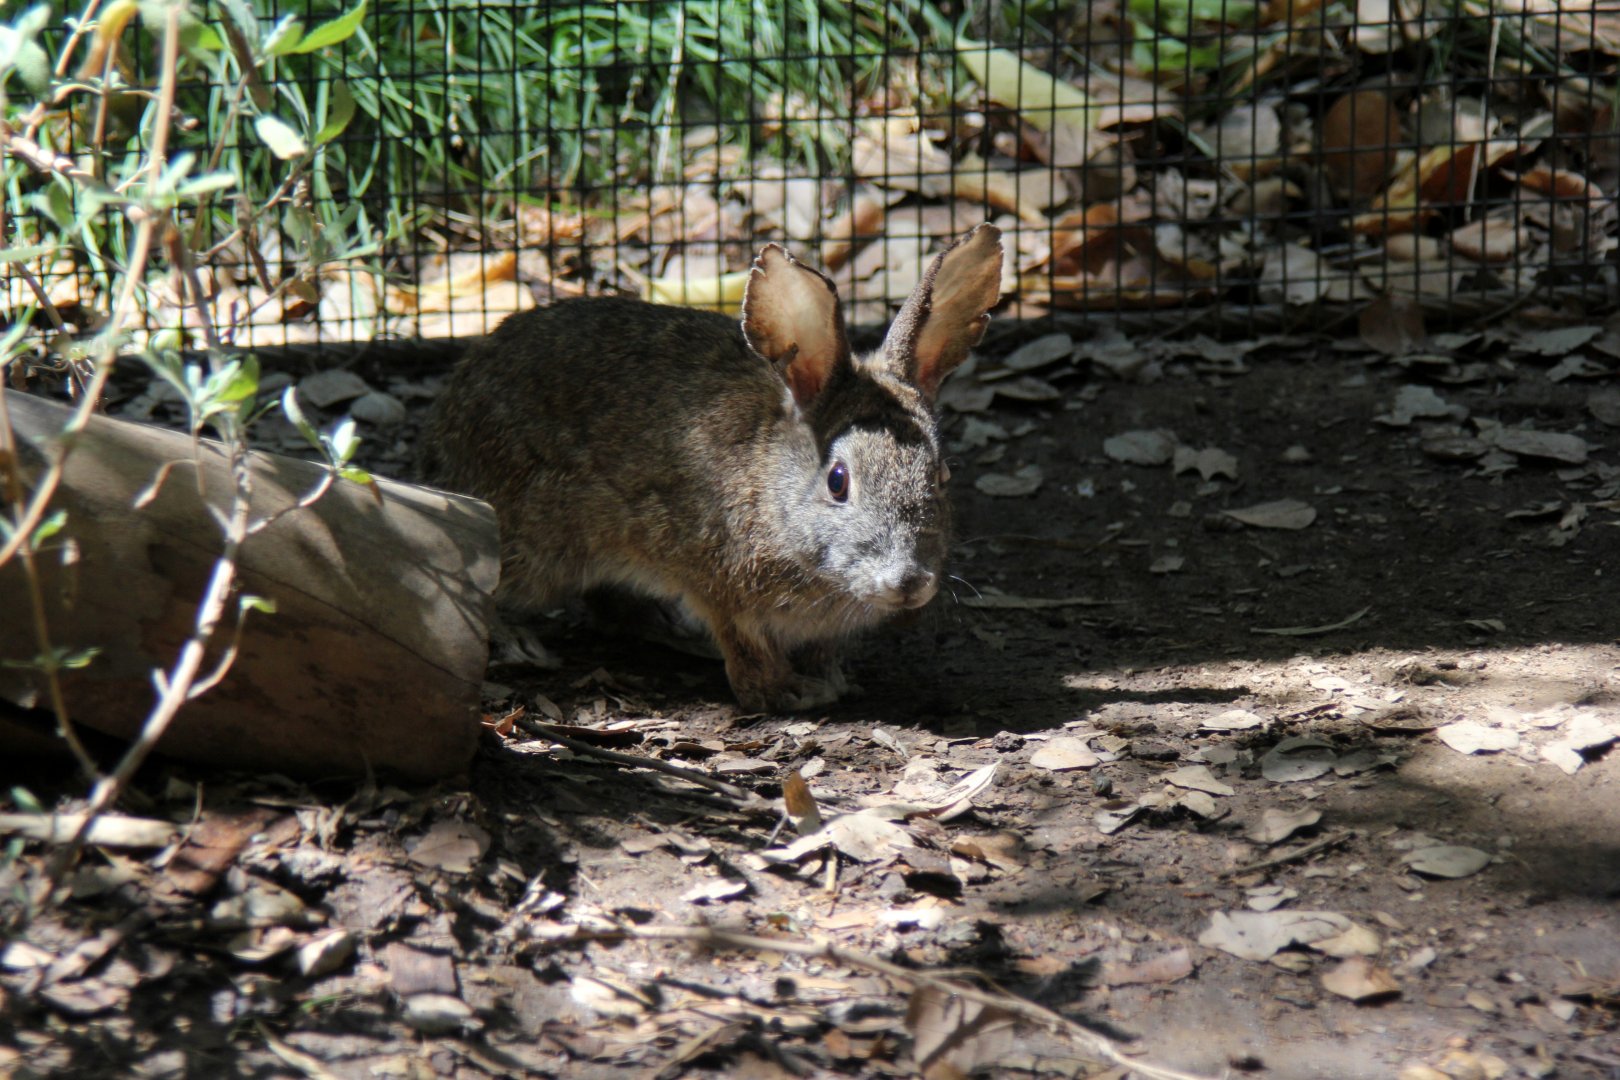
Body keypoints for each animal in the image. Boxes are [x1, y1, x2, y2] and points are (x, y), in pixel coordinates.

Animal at [421, 224, 1004, 712]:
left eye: (942, 477)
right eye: (838, 483)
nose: (909, 582)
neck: (774, 492)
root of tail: (452, 409)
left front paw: (830, 679)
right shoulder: (721, 589)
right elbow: (747, 655)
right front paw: (791, 693)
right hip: (538, 537)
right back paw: (519, 640)